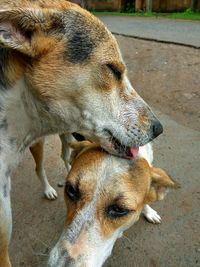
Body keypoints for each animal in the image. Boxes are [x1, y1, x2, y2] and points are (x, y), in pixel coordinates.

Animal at [0, 1, 163, 266]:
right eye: (113, 70)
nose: (158, 129)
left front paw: (149, 210)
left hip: (67, 137)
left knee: (66, 157)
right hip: (40, 146)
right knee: (40, 167)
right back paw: (49, 188)